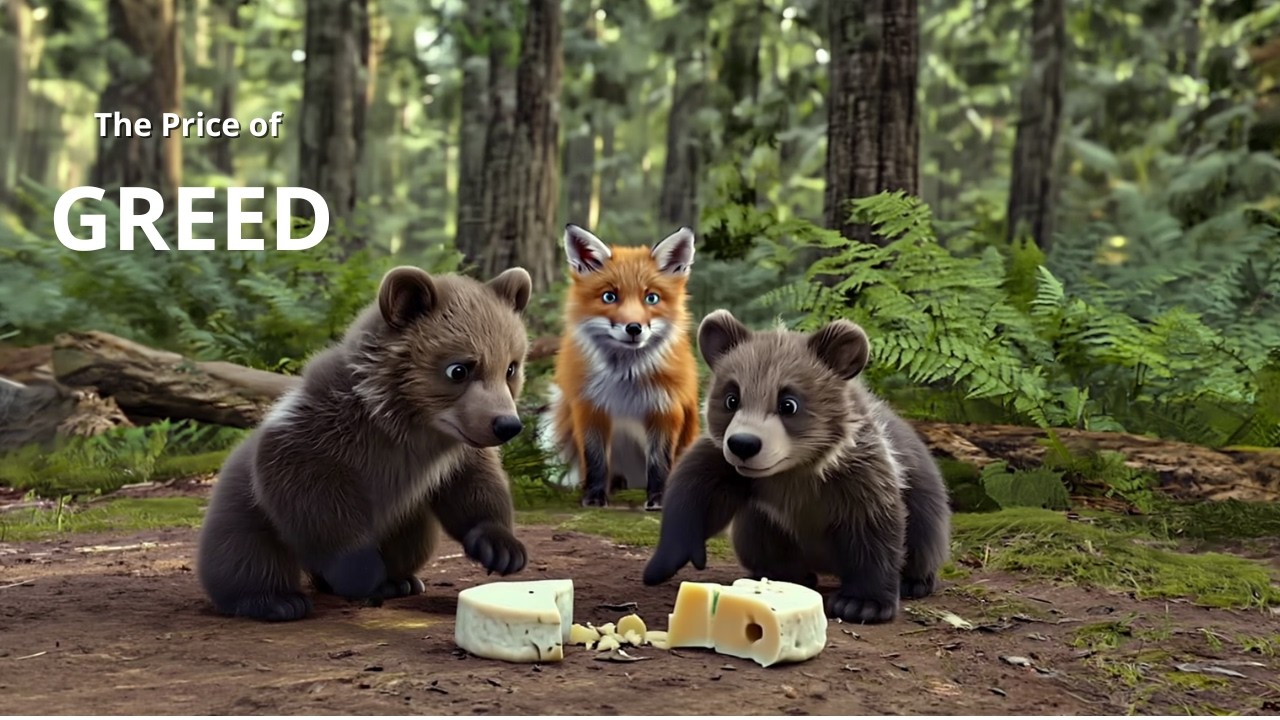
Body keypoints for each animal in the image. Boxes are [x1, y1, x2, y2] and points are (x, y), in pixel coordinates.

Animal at [196, 265, 534, 622]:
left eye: (511, 367)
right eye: (458, 369)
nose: (507, 425)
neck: (408, 425)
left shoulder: (453, 451)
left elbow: (475, 486)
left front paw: (502, 549)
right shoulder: (322, 434)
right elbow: (311, 489)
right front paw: (360, 572)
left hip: (407, 519)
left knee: (413, 540)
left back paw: (399, 581)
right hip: (245, 503)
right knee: (244, 549)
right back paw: (276, 600)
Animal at [548, 224, 701, 510]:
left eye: (651, 298)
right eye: (610, 296)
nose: (633, 328)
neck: (626, 379)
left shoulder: (666, 408)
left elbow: (660, 463)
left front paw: (659, 497)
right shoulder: (590, 407)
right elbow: (595, 460)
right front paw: (595, 496)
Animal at [642, 309, 952, 623]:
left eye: (788, 403)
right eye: (732, 399)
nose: (744, 444)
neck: (795, 471)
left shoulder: (858, 471)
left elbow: (873, 525)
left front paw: (863, 603)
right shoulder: (732, 467)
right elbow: (696, 490)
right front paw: (666, 561)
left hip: (924, 499)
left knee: (925, 538)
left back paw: (915, 581)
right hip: (763, 524)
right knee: (757, 536)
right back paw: (784, 574)